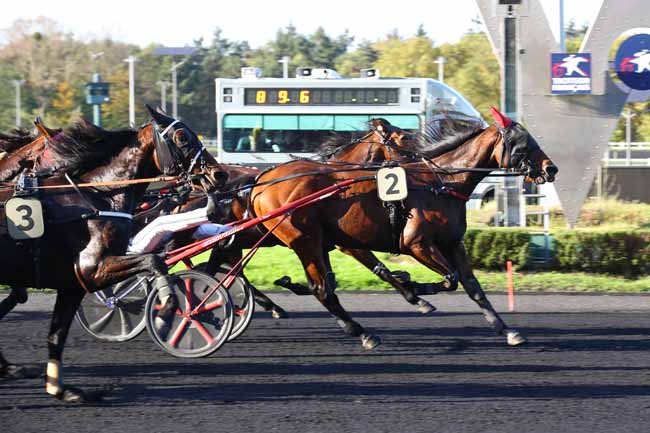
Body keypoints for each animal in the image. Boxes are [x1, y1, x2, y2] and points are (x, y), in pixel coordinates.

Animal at [0, 105, 218, 402]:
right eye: (182, 137)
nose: (219, 174)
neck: (98, 197)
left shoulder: (73, 283)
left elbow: (56, 334)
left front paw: (60, 388)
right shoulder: (93, 270)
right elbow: (153, 260)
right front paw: (163, 317)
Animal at [248, 107, 556, 348]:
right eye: (523, 142)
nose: (550, 169)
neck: (441, 183)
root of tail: (262, 182)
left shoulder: (452, 243)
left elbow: (472, 286)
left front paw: (507, 329)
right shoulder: (415, 244)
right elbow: (449, 278)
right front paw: (415, 286)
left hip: (311, 243)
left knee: (322, 287)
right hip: (305, 241)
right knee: (321, 288)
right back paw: (362, 333)